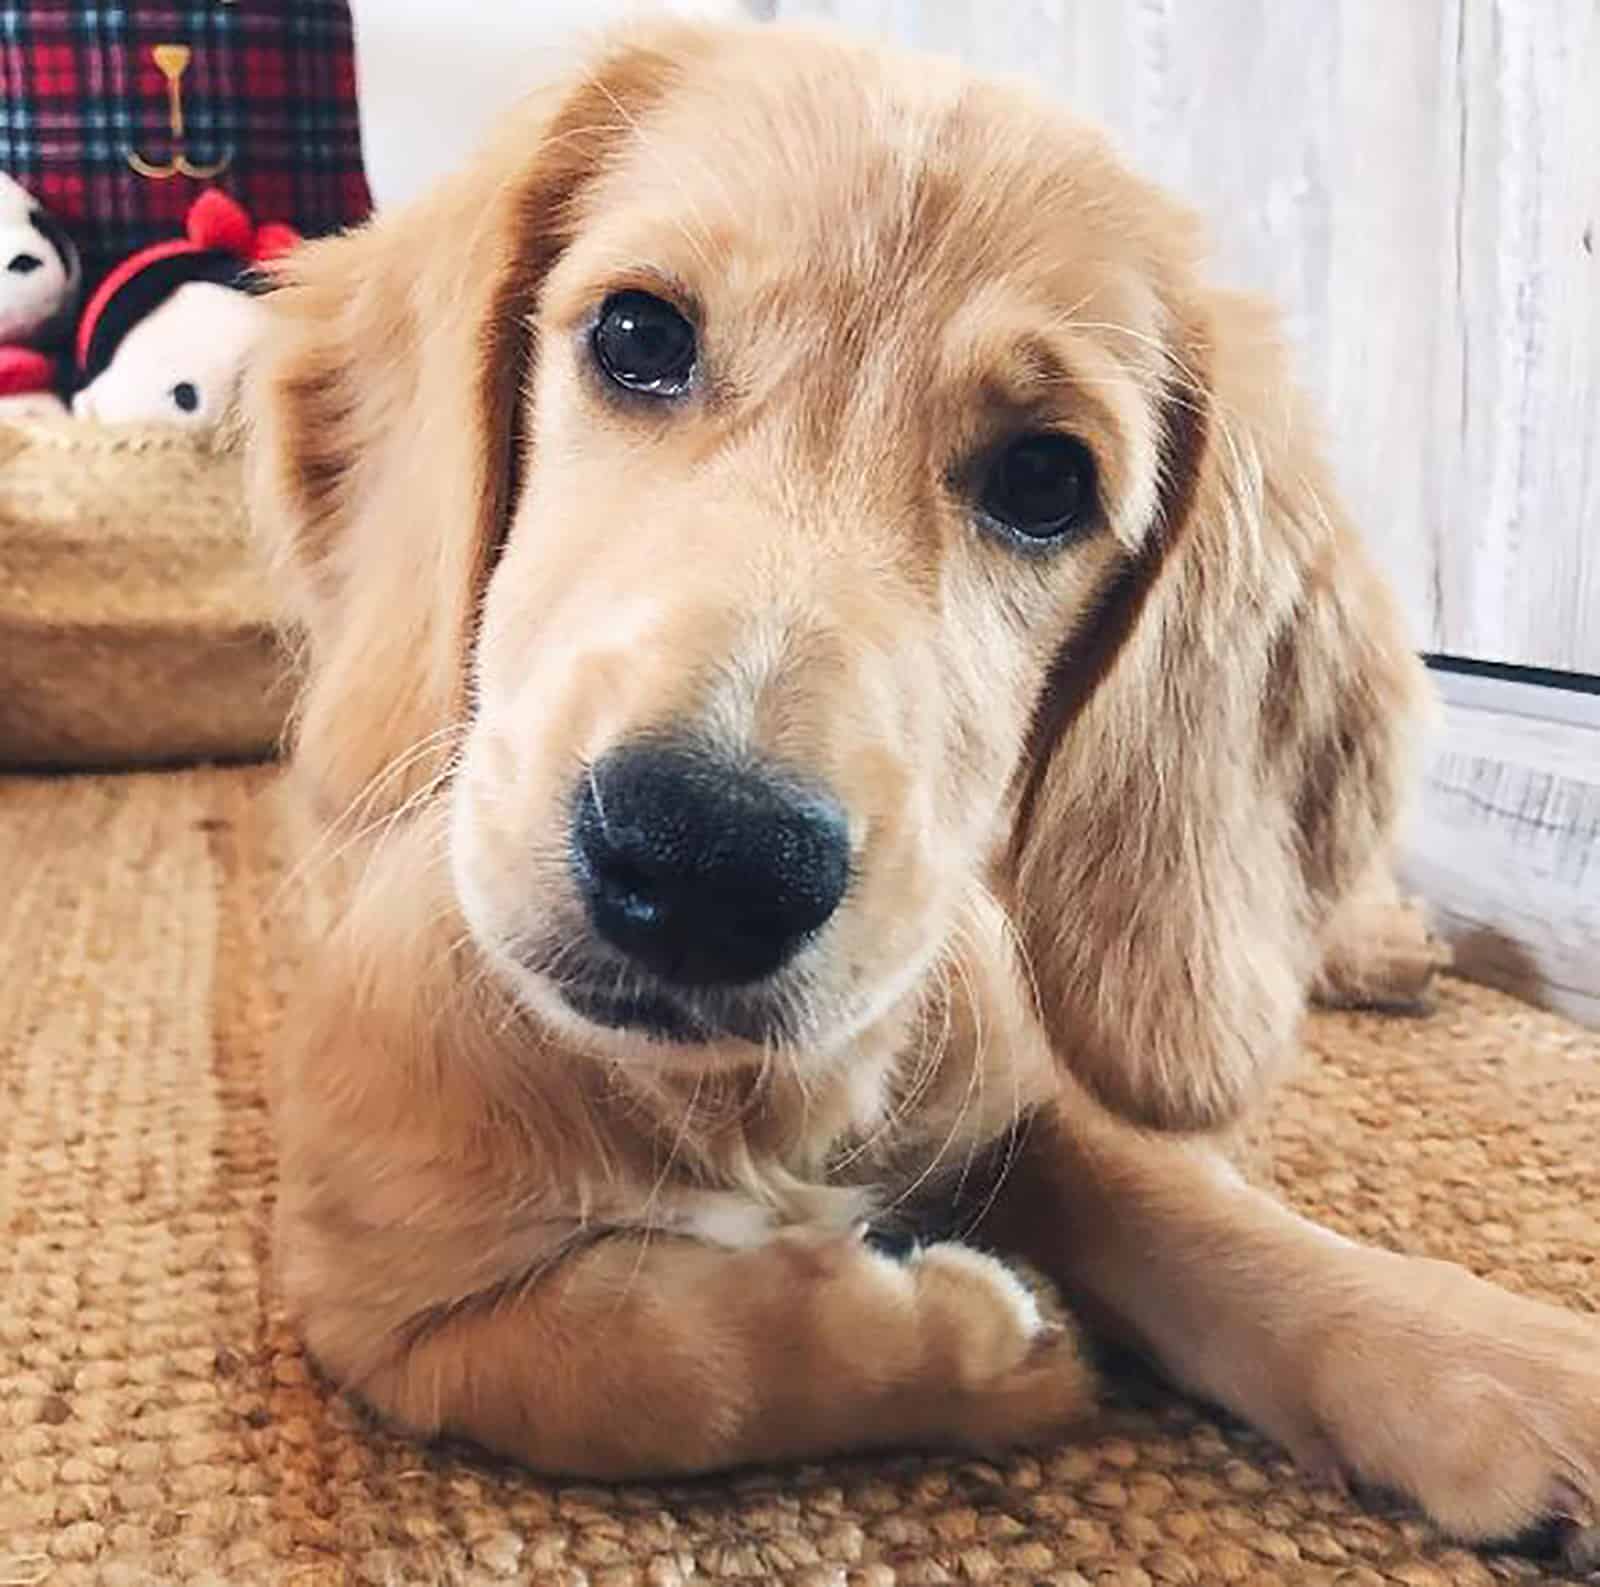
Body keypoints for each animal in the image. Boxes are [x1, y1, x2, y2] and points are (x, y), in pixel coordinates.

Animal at [243, 15, 1593, 1574]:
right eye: (638, 338)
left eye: (1046, 479)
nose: (704, 862)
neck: (735, 1099)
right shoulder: (383, 1298)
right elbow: (655, 1366)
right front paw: (978, 1339)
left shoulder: (1012, 1032)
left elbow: (1189, 1198)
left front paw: (1489, 1364)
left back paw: (1379, 943)